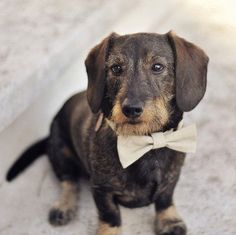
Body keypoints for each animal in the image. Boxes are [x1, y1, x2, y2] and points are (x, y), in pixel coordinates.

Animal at [6, 31, 208, 235]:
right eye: (116, 68)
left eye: (158, 67)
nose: (131, 109)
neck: (145, 143)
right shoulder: (101, 190)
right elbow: (110, 215)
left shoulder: (172, 178)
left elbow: (165, 199)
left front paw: (169, 220)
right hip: (60, 153)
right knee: (69, 181)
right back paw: (63, 206)